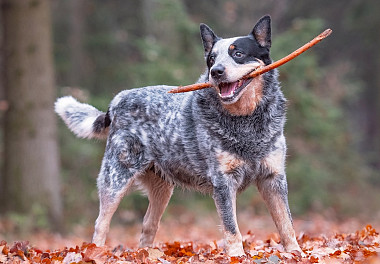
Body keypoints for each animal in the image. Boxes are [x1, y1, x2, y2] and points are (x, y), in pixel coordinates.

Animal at [55, 14, 302, 256]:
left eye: (238, 53)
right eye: (211, 59)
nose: (216, 72)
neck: (246, 120)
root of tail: (117, 100)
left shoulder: (273, 178)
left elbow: (286, 223)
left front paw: (295, 253)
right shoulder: (223, 182)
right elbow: (232, 228)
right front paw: (236, 256)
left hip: (162, 188)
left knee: (148, 224)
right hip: (116, 179)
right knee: (101, 223)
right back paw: (94, 252)